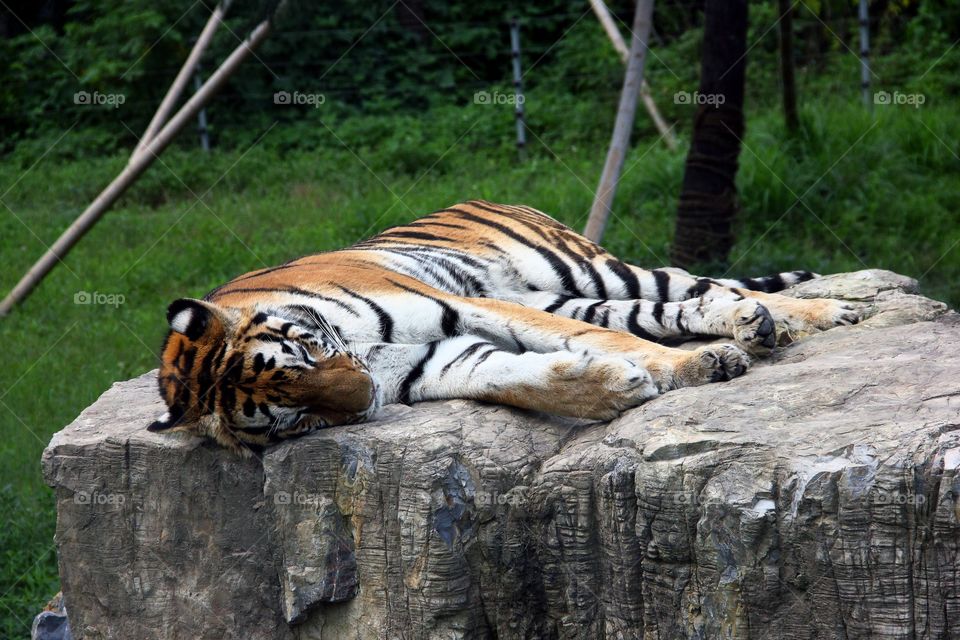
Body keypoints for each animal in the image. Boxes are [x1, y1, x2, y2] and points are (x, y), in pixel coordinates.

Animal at [150, 200, 864, 456]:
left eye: (303, 350)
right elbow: (509, 378)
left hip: (588, 270)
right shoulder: (431, 361)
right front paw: (613, 387)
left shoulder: (460, 306)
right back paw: (751, 329)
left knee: (699, 286)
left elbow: (609, 346)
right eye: (289, 419)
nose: (364, 398)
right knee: (672, 308)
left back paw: (813, 315)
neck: (369, 358)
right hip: (572, 297)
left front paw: (675, 370)